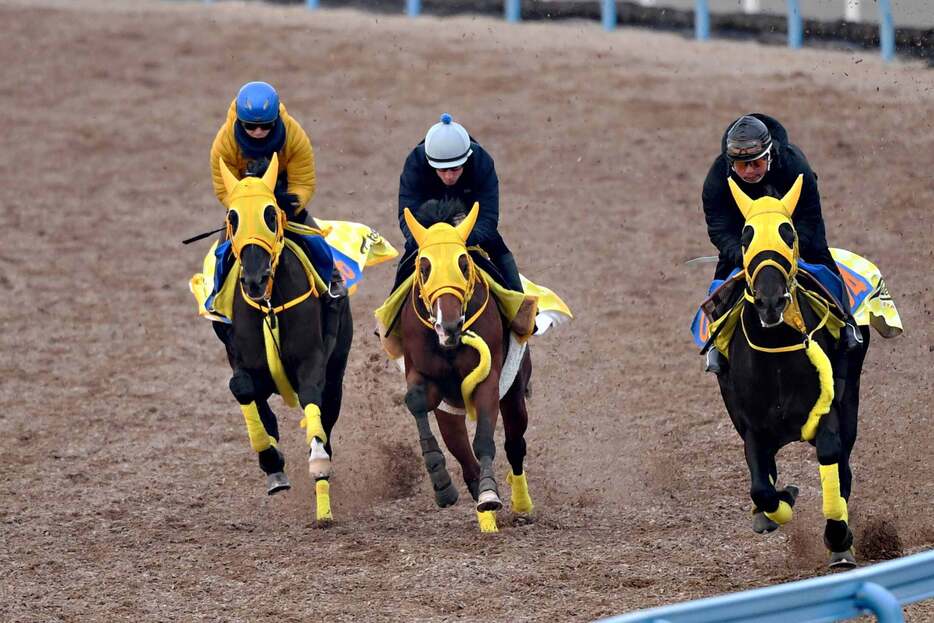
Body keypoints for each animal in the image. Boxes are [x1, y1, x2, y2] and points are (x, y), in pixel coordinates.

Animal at [218, 154, 352, 524]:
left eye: (270, 213)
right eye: (232, 217)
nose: (254, 279)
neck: (268, 304)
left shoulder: (312, 361)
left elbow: (312, 399)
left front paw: (319, 464)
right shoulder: (243, 361)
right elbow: (243, 389)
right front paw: (271, 462)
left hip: (337, 372)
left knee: (327, 411)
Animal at [400, 202, 532, 532]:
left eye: (463, 263)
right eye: (424, 266)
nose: (448, 326)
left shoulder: (489, 379)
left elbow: (484, 437)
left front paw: (489, 494)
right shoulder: (426, 378)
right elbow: (416, 401)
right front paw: (440, 481)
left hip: (514, 393)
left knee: (514, 444)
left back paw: (520, 505)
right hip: (450, 412)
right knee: (462, 453)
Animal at [720, 177, 872, 572]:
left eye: (788, 233)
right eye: (746, 237)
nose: (770, 301)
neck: (776, 358)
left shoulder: (826, 408)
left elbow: (831, 454)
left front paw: (839, 539)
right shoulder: (753, 426)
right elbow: (761, 487)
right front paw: (778, 502)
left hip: (851, 396)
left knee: (844, 462)